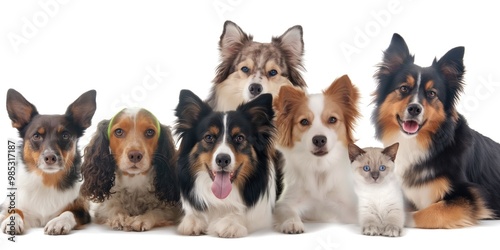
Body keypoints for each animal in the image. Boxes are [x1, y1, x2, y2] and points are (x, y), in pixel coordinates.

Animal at [0, 89, 95, 235]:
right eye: (36, 136)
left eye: (65, 135)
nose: (50, 157)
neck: (47, 180)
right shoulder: (10, 205)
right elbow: (15, 210)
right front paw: (13, 221)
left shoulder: (82, 210)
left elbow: (68, 212)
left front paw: (58, 222)